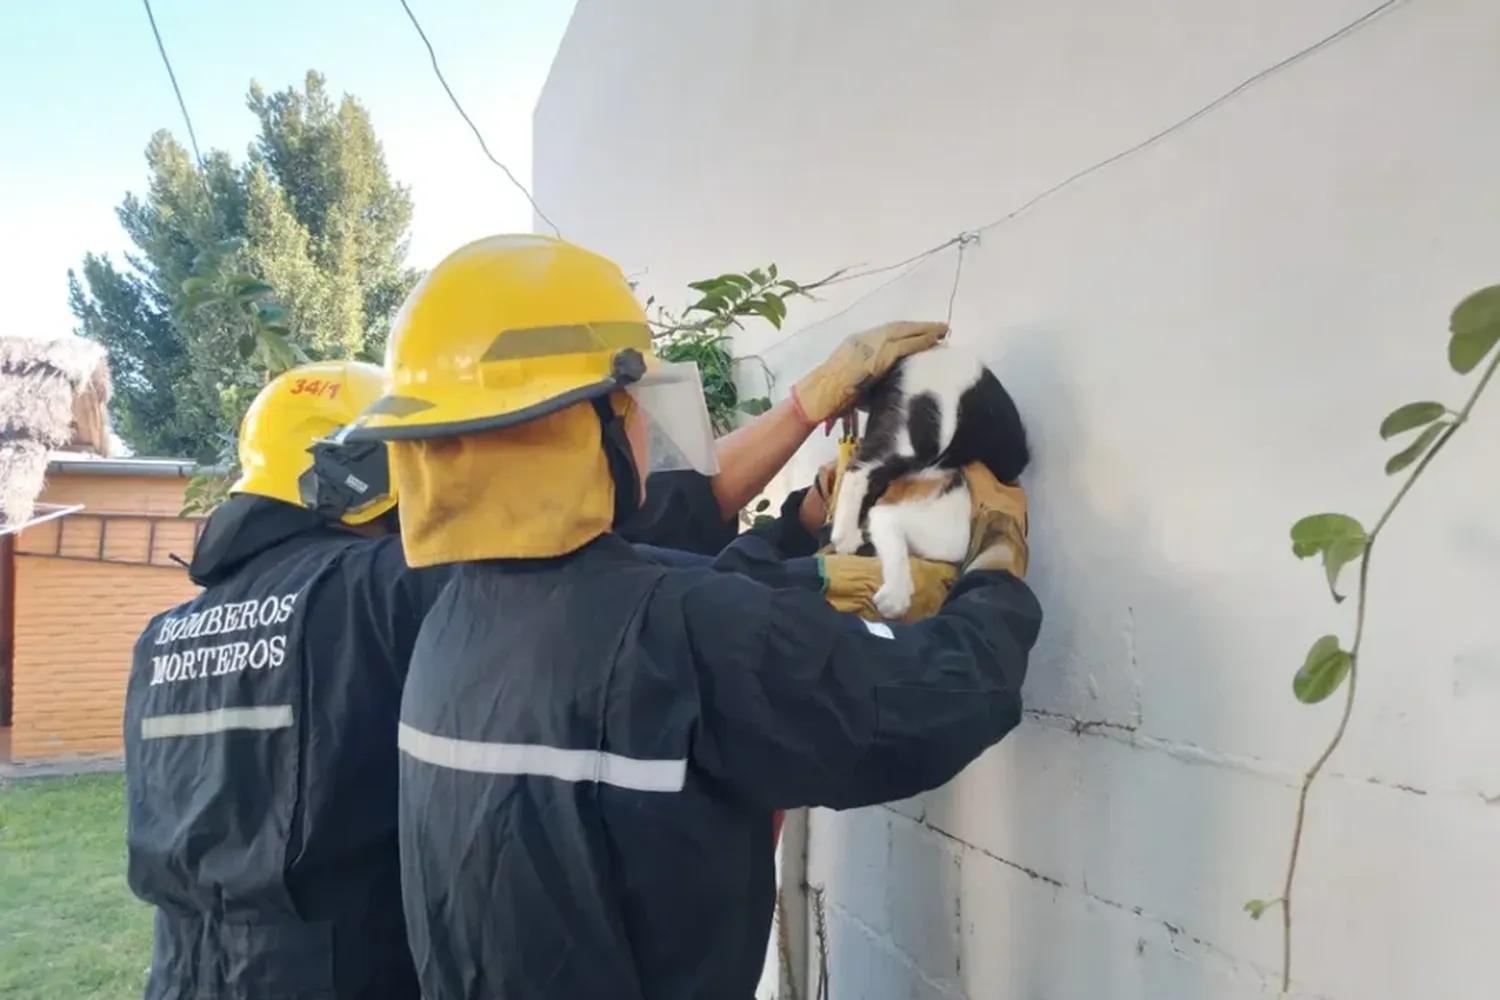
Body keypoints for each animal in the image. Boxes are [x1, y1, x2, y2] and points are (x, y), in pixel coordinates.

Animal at [834, 344, 1032, 617]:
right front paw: (896, 595)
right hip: (920, 432)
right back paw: (845, 534)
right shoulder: (898, 512)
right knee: (860, 467)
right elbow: (888, 527)